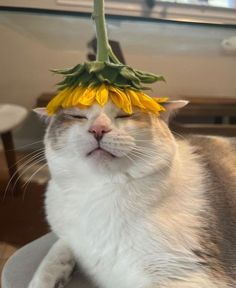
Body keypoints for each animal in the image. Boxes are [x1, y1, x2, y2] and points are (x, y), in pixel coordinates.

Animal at [28, 100, 236, 286]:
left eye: (125, 114)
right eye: (76, 116)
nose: (98, 129)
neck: (99, 195)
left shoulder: (184, 270)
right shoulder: (68, 235)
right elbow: (55, 253)